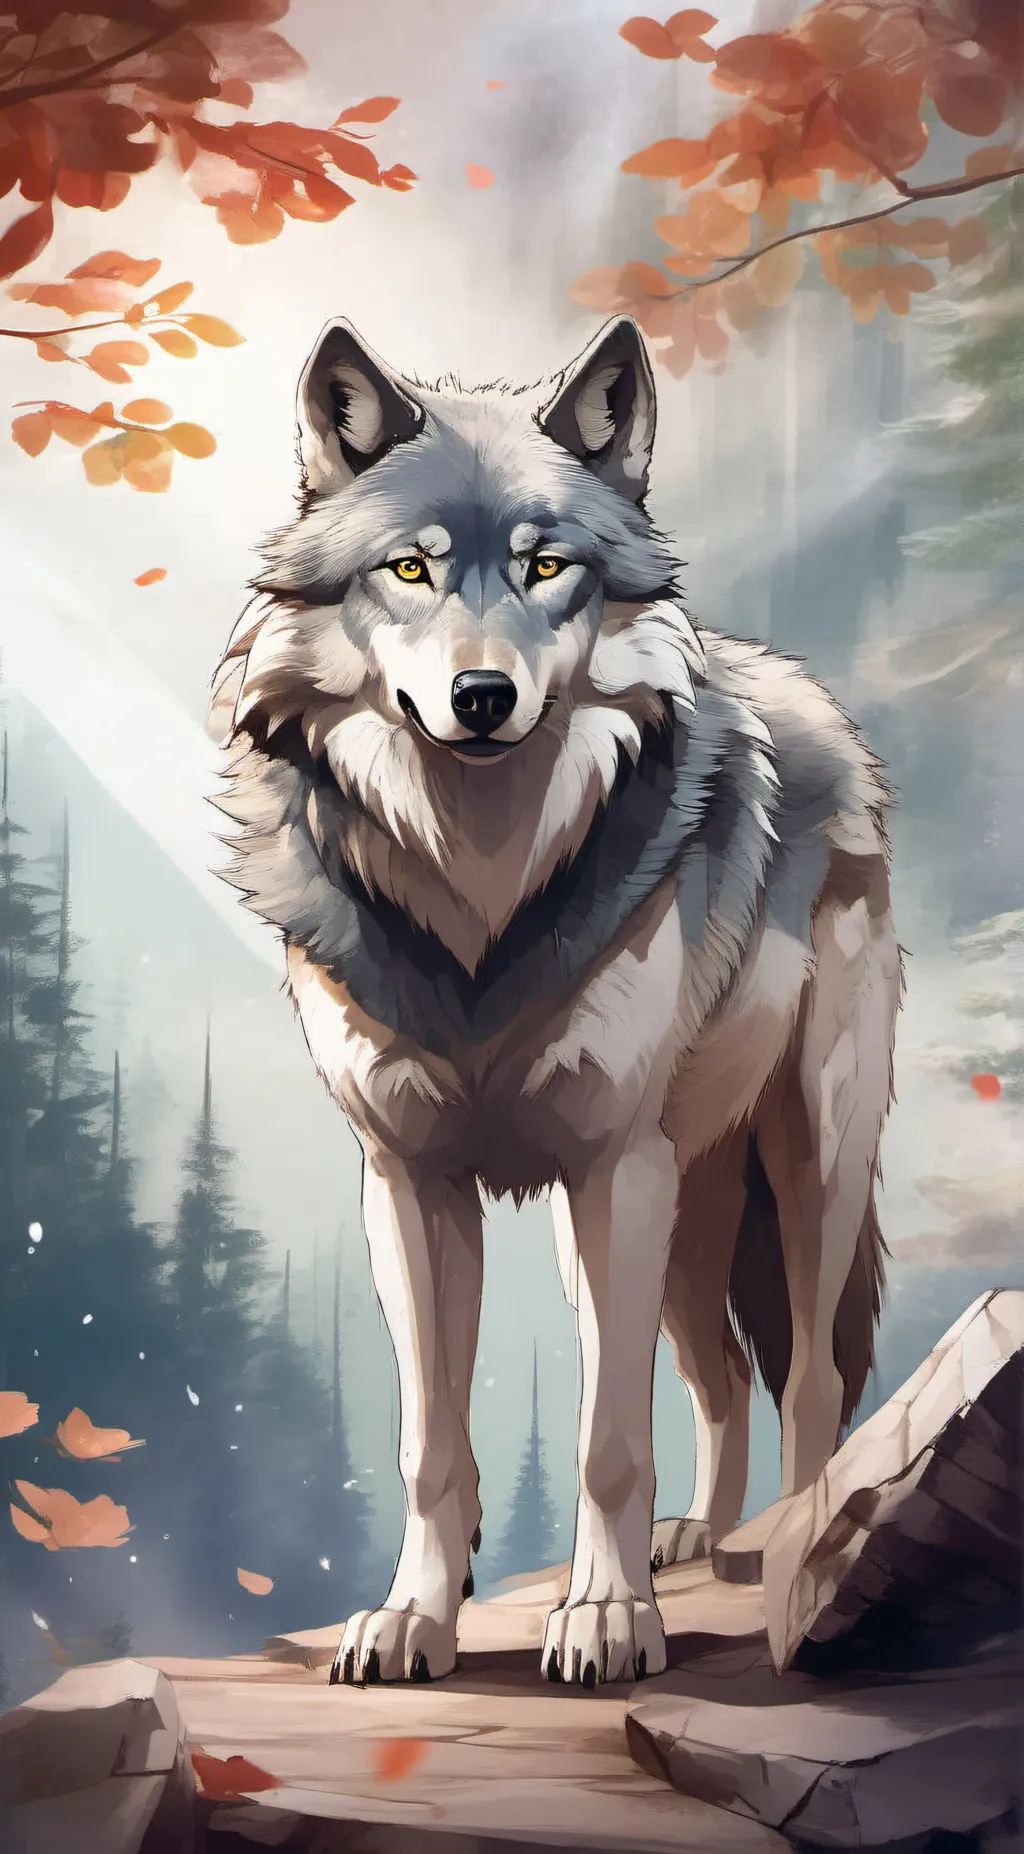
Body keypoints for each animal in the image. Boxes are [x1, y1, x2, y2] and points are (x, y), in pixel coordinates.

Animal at [208, 314, 903, 1689]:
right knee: (718, 1376)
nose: (481, 698)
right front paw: (415, 1621)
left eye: (546, 569)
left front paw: (605, 1618)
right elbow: (432, 1444)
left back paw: (787, 1547)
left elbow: (603, 1440)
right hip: (672, 1205)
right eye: (409, 569)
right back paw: (699, 1538)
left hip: (799, 1163)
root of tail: (818, 704)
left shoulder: (611, 1166)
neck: (480, 894)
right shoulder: (411, 1179)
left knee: (802, 1375)